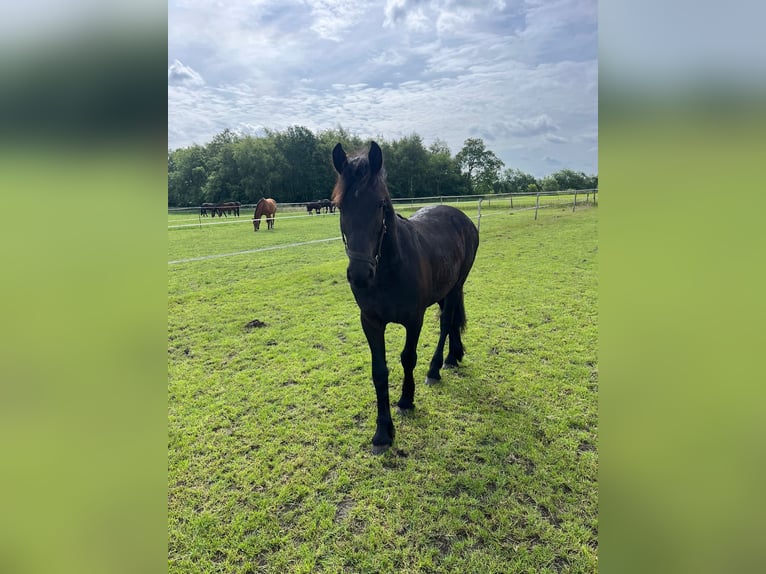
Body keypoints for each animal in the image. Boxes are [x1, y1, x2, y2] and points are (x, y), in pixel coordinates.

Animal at [332, 141, 479, 454]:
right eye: (340, 205)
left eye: (379, 204)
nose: (360, 274)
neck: (389, 269)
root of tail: (461, 217)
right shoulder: (371, 322)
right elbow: (379, 371)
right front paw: (382, 433)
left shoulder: (414, 320)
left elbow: (407, 358)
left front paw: (406, 401)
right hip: (444, 290)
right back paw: (454, 356)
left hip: (455, 287)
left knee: (447, 323)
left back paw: (436, 368)